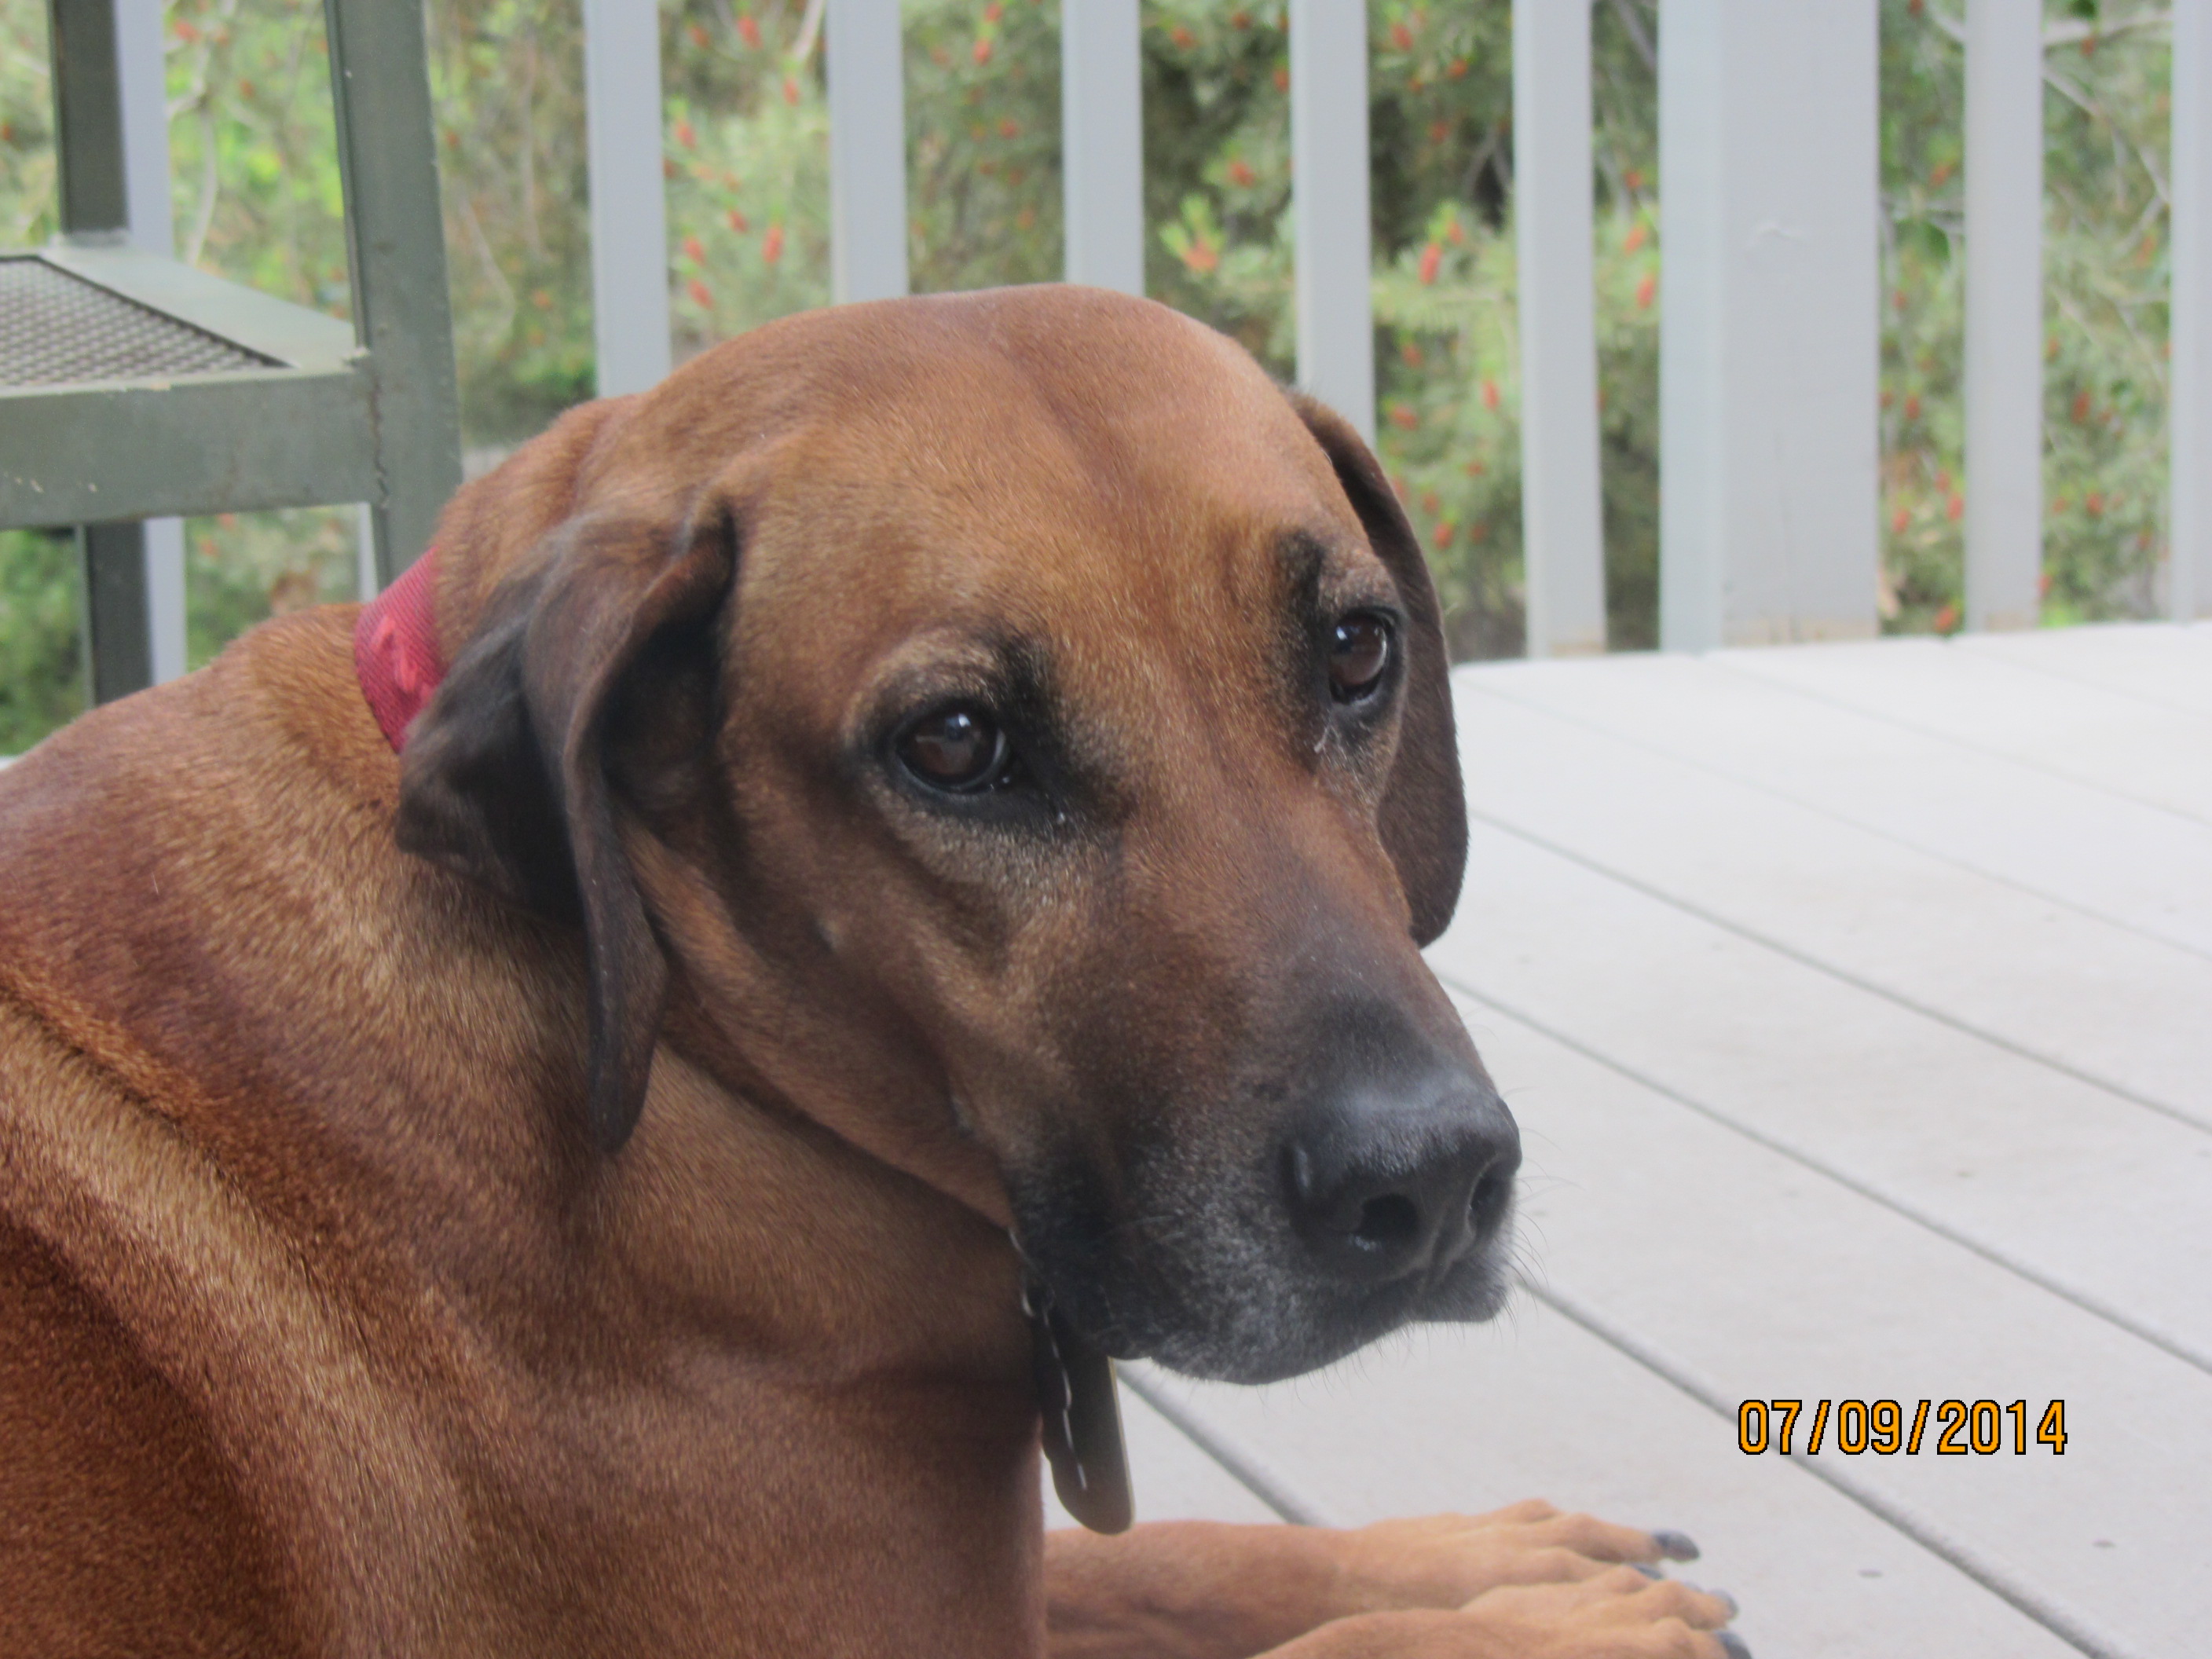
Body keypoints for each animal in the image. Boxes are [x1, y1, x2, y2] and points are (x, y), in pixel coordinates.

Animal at [0, 286, 1743, 1657]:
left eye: (1356, 650)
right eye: (957, 744)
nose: (1431, 1182)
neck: (685, 1044)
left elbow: (1170, 1559)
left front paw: (1473, 1554)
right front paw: (1541, 1627)